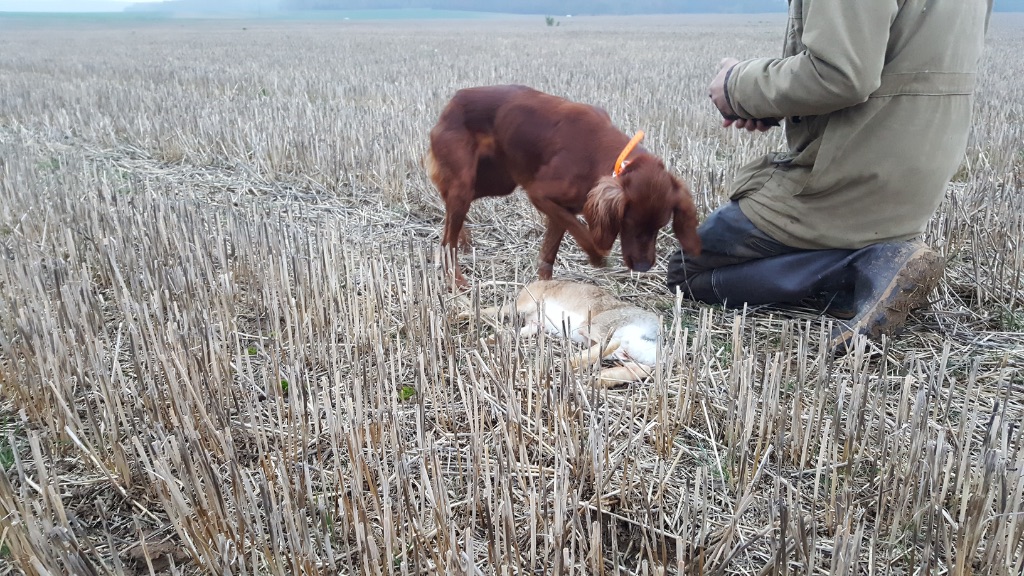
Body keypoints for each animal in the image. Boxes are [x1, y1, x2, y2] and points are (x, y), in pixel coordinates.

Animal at [425, 84, 704, 286]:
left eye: (661, 226)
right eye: (629, 223)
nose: (644, 267)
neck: (603, 156)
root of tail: (453, 101)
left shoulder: (561, 208)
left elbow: (550, 251)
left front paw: (545, 291)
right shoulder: (540, 194)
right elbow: (583, 233)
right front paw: (597, 256)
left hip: (495, 182)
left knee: (448, 204)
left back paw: (463, 239)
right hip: (467, 184)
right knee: (446, 241)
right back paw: (457, 280)